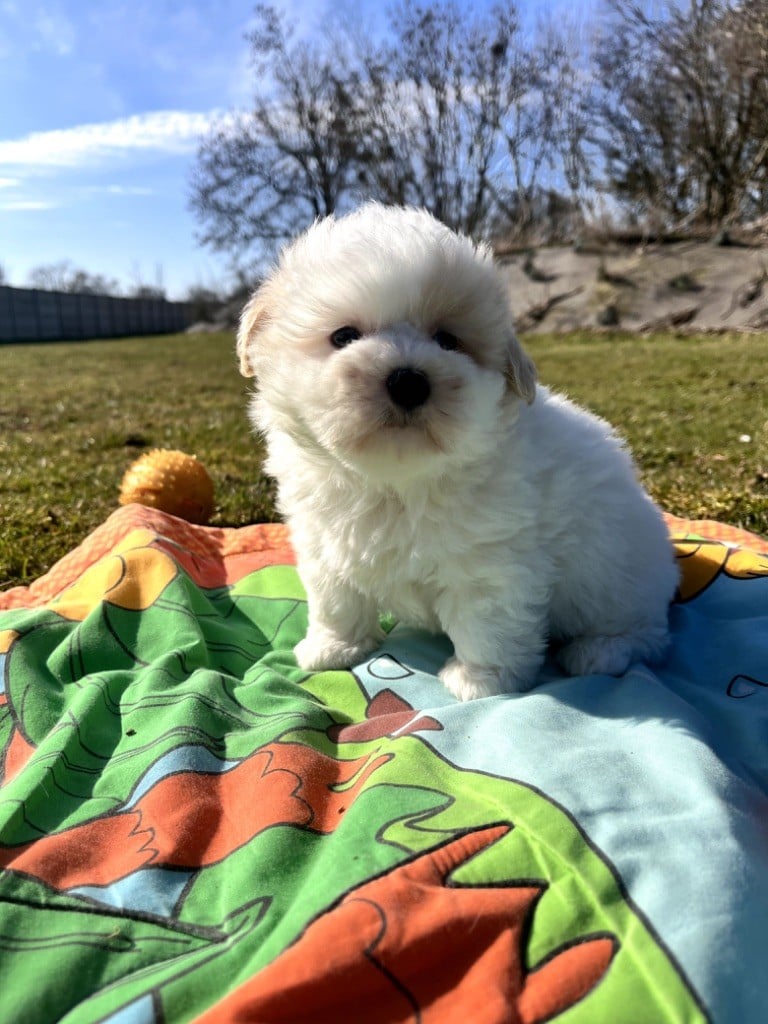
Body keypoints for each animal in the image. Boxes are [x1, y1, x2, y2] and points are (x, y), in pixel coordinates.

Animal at [236, 207, 679, 704]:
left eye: (448, 340)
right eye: (344, 336)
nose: (408, 380)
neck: (395, 484)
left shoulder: (491, 564)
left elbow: (486, 625)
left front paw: (481, 680)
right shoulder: (326, 546)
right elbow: (336, 601)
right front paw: (333, 648)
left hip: (618, 580)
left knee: (646, 634)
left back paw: (599, 651)